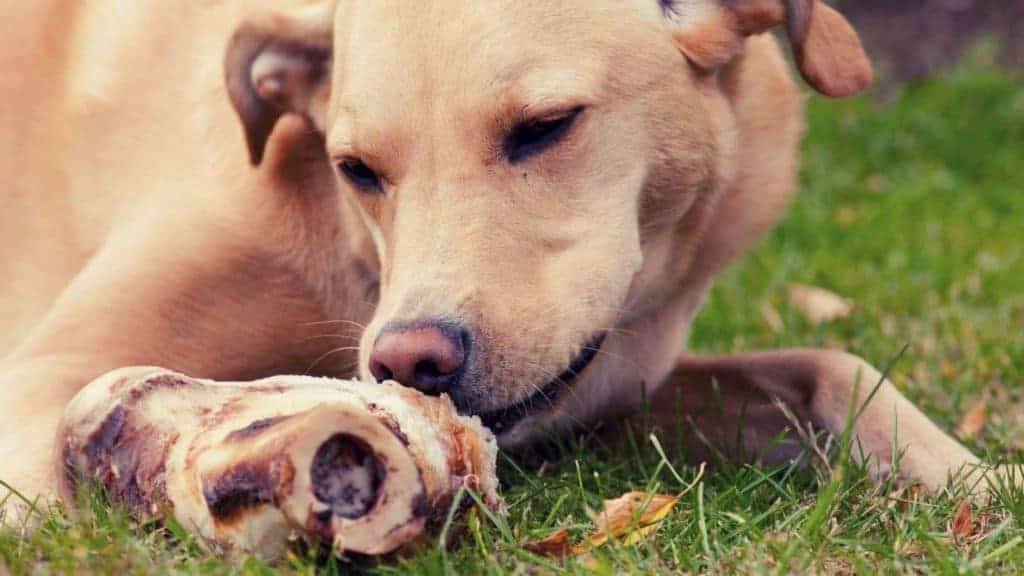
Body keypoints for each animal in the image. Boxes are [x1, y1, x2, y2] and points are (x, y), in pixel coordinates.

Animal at [0, 0, 1007, 510]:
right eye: (357, 170)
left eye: (545, 127)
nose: (408, 363)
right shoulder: (43, 383)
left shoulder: (612, 390)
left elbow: (835, 365)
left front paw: (972, 475)